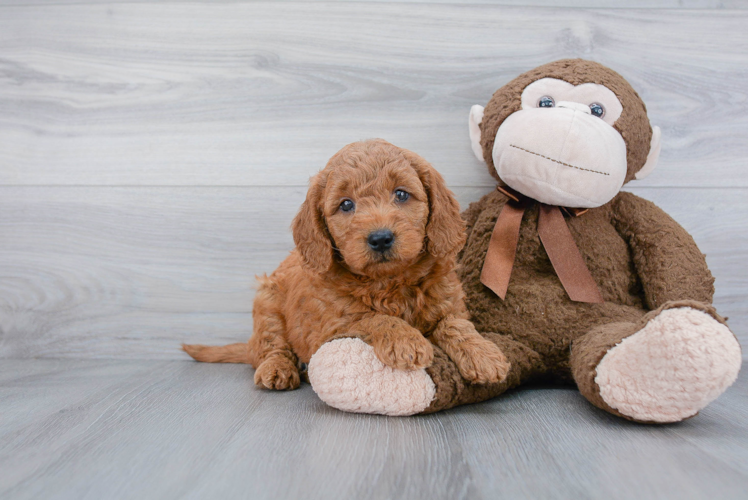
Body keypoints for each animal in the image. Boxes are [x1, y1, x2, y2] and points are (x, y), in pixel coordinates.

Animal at [183, 140, 508, 390]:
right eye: (346, 204)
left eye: (401, 194)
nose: (380, 238)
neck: (390, 282)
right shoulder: (330, 323)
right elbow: (370, 317)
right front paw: (405, 340)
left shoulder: (449, 302)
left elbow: (455, 324)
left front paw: (484, 355)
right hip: (267, 301)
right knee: (270, 345)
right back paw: (277, 369)